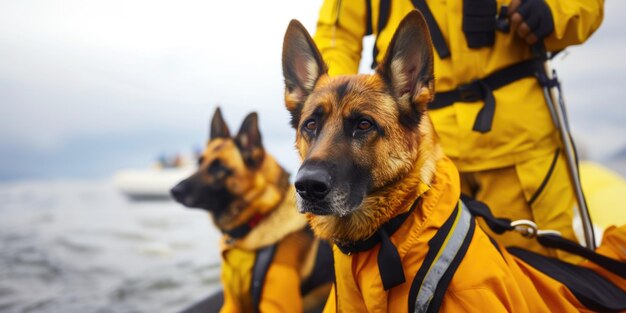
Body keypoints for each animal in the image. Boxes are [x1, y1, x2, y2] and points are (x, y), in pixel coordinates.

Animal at [168, 108, 330, 312]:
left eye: (219, 168)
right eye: (199, 162)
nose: (174, 191)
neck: (257, 220)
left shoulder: (277, 304)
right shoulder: (232, 302)